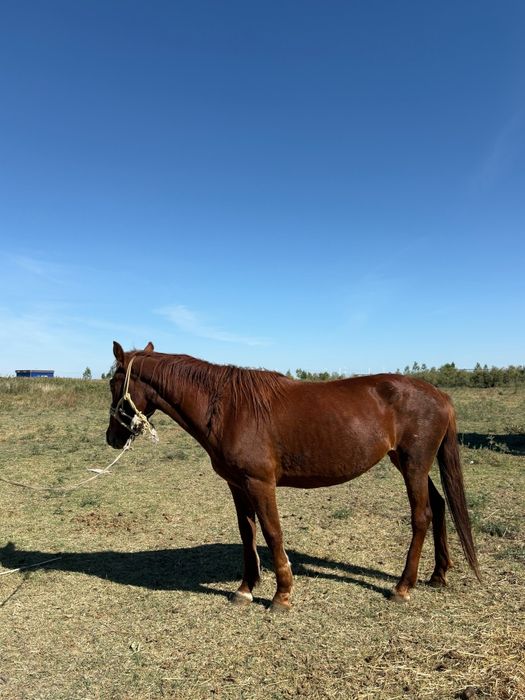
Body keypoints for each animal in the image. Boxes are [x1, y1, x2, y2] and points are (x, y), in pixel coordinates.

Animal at [106, 341, 480, 611]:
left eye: (112, 382)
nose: (112, 438)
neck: (229, 408)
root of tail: (440, 395)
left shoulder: (260, 483)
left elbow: (273, 533)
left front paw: (282, 595)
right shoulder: (237, 484)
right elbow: (247, 533)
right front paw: (245, 590)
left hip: (414, 464)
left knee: (422, 516)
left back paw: (403, 587)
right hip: (408, 463)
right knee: (440, 505)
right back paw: (438, 574)